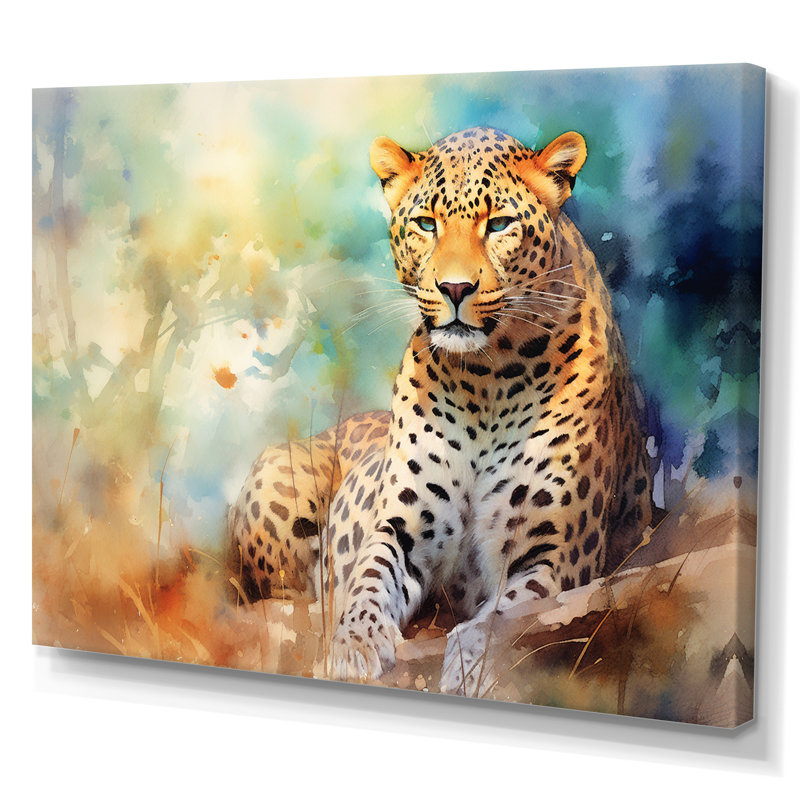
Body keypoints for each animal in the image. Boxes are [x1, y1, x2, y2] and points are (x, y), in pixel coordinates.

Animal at [228, 126, 651, 695]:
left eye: (499, 224)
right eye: (427, 224)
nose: (455, 288)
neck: (490, 378)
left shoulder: (557, 555)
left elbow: (505, 615)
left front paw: (470, 661)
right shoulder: (400, 527)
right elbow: (368, 581)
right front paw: (355, 645)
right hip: (277, 473)